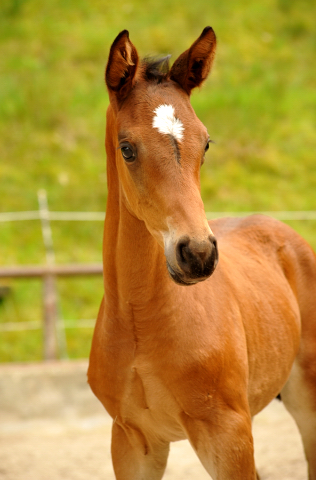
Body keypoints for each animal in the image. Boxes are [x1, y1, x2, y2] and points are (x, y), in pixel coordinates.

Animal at [87, 27, 316, 480]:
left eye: (206, 143)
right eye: (127, 148)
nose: (196, 253)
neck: (141, 321)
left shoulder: (227, 436)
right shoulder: (131, 441)